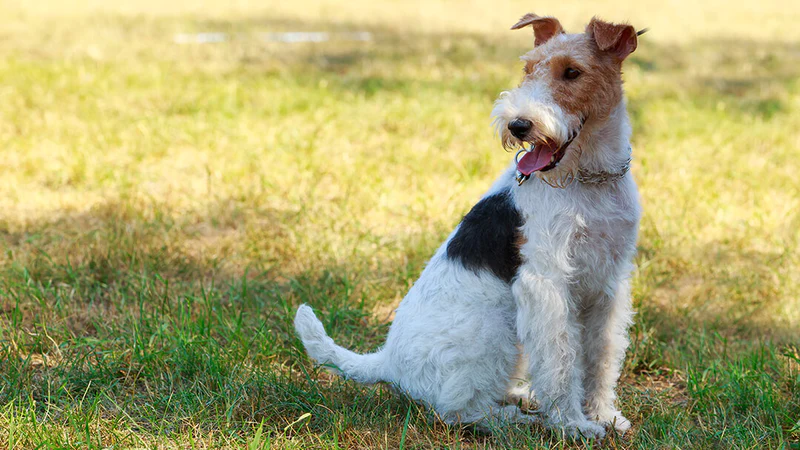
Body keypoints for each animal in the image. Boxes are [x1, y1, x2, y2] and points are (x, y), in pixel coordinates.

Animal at [296, 14, 644, 440]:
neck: (589, 179)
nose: (519, 125)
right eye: (528, 69)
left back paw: (523, 395)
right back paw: (514, 419)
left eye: (572, 72)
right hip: (494, 331)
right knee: (457, 410)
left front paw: (604, 415)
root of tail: (386, 361)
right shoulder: (546, 283)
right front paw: (573, 425)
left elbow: (601, 355)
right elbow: (561, 361)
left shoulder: (608, 281)